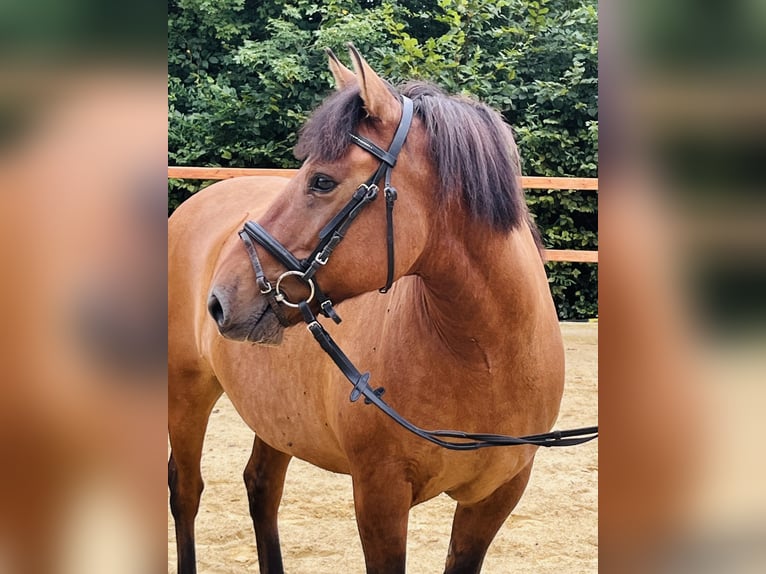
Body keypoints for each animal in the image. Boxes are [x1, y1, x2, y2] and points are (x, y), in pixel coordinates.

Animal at [166, 46, 564, 574]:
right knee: (186, 491)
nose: (220, 299)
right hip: (186, 392)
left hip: (275, 418)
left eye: (321, 180)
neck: (486, 358)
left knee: (262, 488)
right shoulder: (379, 496)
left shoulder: (495, 497)